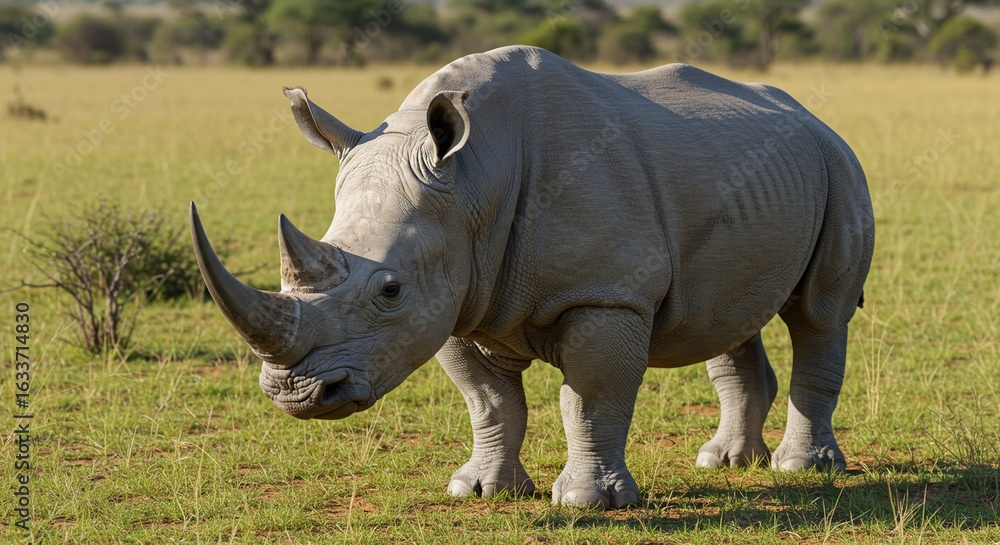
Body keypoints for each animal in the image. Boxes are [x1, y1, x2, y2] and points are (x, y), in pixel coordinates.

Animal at [190, 46, 874, 509]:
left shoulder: (604, 295)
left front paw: (589, 502)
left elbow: (591, 397)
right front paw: (480, 490)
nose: (295, 394)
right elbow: (490, 402)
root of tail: (808, 113)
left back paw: (801, 469)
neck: (473, 179)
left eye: (389, 290)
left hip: (840, 164)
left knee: (820, 313)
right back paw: (724, 463)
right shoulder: (458, 295)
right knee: (727, 316)